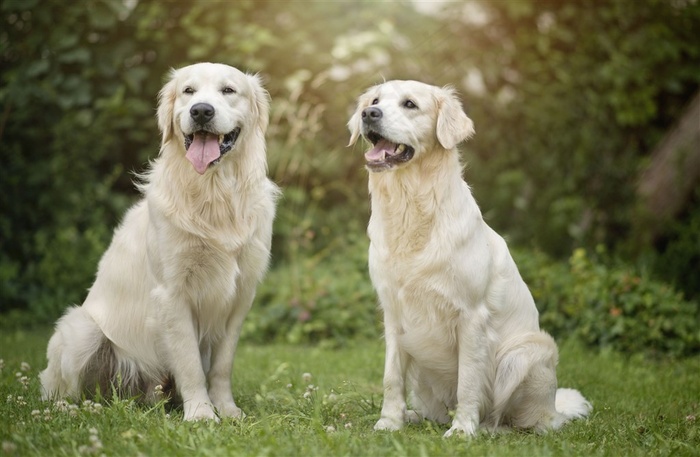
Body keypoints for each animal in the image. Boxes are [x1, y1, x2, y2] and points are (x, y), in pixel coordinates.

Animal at [39, 63, 278, 420]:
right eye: (188, 91)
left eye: (228, 90)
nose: (201, 111)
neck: (214, 194)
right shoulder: (173, 293)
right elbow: (190, 364)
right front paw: (201, 414)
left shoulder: (241, 296)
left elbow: (222, 366)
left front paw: (227, 410)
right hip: (81, 329)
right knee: (59, 390)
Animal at [348, 80, 592, 436]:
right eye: (375, 100)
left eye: (410, 104)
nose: (369, 114)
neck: (411, 206)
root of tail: (554, 407)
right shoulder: (393, 315)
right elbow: (391, 377)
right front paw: (389, 422)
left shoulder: (471, 317)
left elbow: (468, 381)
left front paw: (463, 429)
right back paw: (415, 417)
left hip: (527, 352)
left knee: (517, 420)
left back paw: (491, 428)